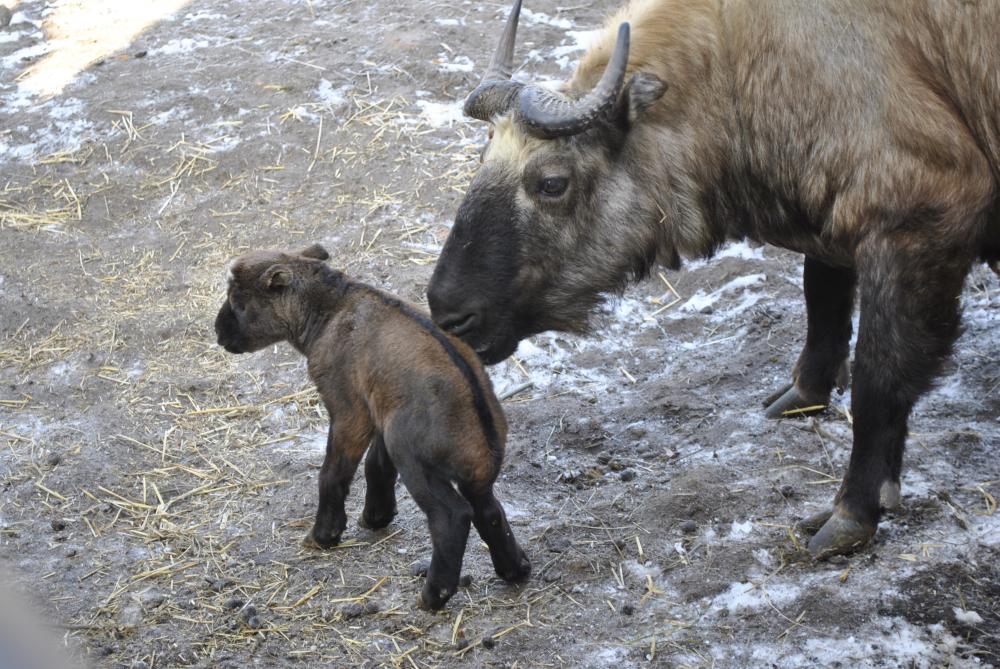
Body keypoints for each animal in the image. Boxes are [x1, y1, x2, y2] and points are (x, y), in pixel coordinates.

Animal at [216, 244, 536, 604]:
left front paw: (324, 535)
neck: (333, 305)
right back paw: (514, 569)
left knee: (451, 515)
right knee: (488, 511)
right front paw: (376, 517)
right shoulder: (379, 408)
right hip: (467, 475)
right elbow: (376, 465)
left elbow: (333, 473)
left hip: (413, 456)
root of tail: (482, 440)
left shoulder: (349, 408)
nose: (218, 332)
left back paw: (434, 596)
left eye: (238, 303)